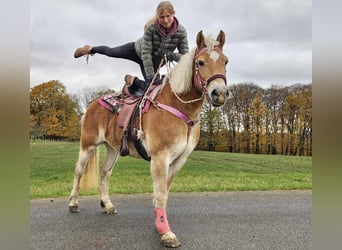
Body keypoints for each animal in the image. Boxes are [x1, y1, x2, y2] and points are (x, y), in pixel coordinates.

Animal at [69, 30, 230, 247]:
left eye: (226, 61)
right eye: (201, 62)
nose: (219, 93)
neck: (178, 107)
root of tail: (93, 104)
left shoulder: (179, 160)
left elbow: (164, 191)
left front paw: (159, 224)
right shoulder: (160, 157)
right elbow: (160, 193)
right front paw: (166, 232)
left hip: (113, 149)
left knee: (105, 173)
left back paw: (107, 204)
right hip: (88, 145)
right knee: (79, 171)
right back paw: (73, 203)